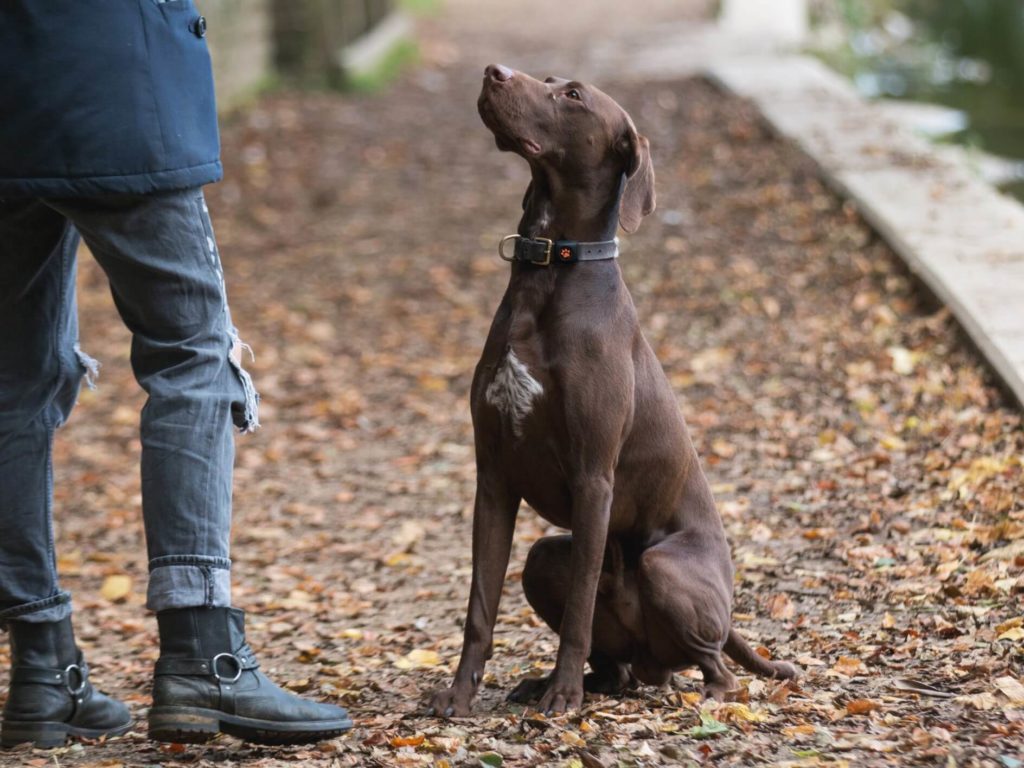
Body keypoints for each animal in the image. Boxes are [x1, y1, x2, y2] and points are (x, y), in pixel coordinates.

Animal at [428, 63, 794, 720]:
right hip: (546, 558)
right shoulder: (493, 478)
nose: (494, 71)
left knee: (717, 667)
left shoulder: (594, 477)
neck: (551, 268)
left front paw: (563, 696)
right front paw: (461, 694)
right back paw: (559, 682)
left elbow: (577, 611)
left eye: (572, 95)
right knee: (618, 665)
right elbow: (480, 607)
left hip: (665, 567)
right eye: (547, 77)